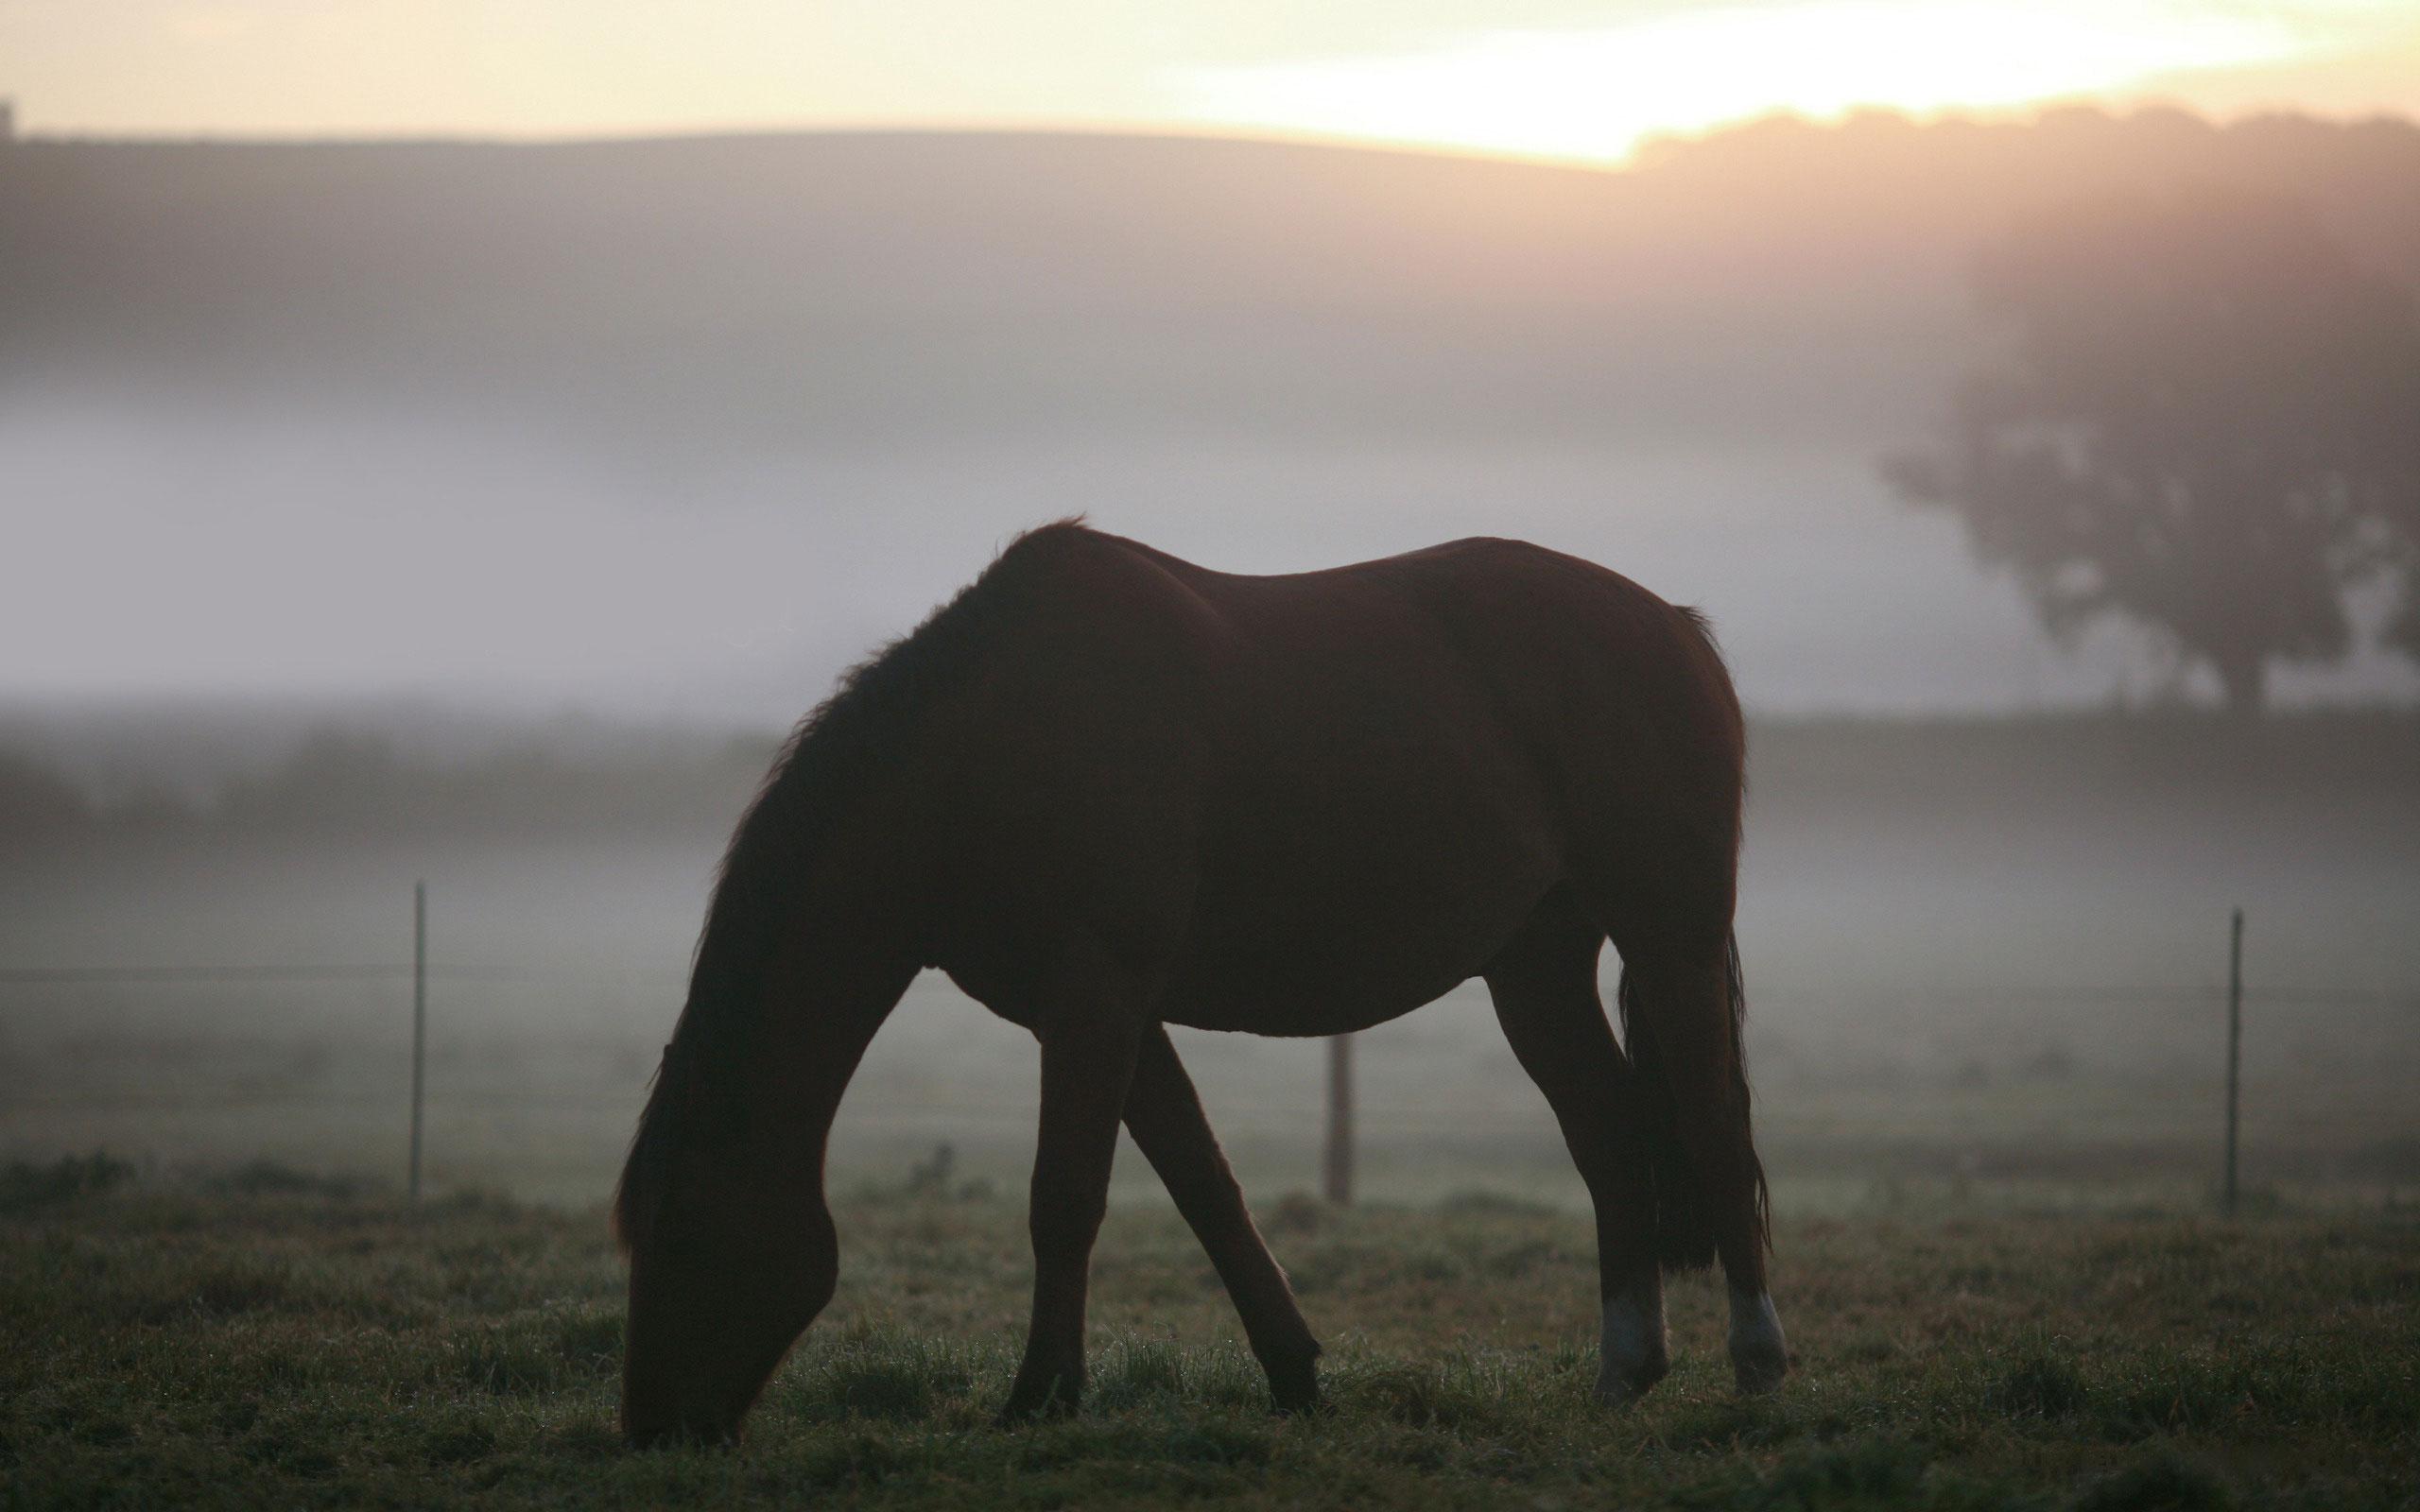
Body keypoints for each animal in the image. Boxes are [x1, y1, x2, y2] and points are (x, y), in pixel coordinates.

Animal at [614, 524, 1790, 1441]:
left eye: (680, 1230)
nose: (649, 1428)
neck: (992, 750)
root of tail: (1671, 626)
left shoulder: (1096, 995)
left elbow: (1064, 1198)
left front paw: (1039, 1397)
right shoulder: (1104, 1012)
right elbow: (1203, 1186)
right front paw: (1294, 1374)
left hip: (1670, 940)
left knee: (1713, 1125)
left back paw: (1759, 1363)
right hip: (1533, 968)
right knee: (1607, 1137)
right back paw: (1624, 1369)